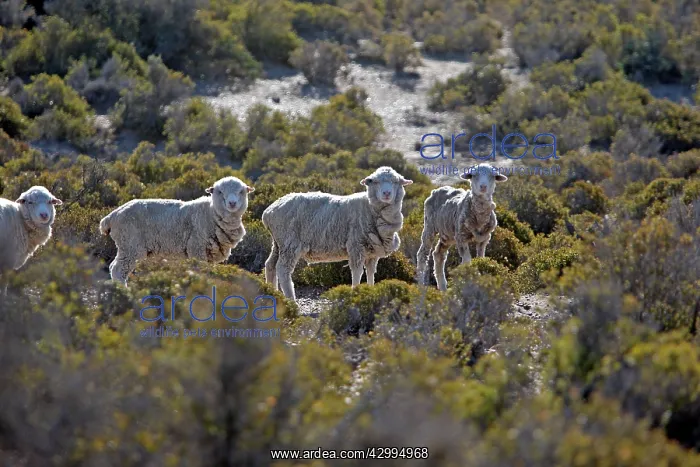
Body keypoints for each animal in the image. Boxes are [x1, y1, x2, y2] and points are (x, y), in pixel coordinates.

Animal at [99, 176, 254, 287]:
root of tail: (112, 215)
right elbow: (200, 273)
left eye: (242, 191)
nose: (232, 203)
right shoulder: (196, 249)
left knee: (113, 267)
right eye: (220, 192)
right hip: (131, 245)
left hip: (126, 246)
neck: (212, 213)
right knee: (118, 270)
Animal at [262, 166, 413, 301]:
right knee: (282, 269)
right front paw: (356, 292)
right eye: (374, 181)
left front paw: (370, 290)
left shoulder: (373, 251)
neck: (370, 208)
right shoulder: (356, 246)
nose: (386, 193)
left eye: (396, 181)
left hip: (278, 243)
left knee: (270, 265)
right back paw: (291, 299)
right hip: (290, 243)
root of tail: (268, 212)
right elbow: (357, 272)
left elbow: (371, 272)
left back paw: (272, 293)